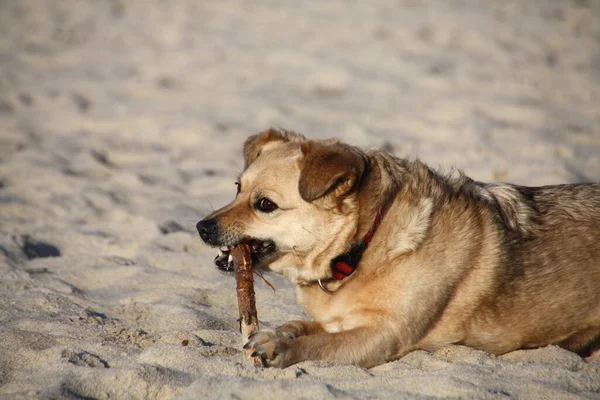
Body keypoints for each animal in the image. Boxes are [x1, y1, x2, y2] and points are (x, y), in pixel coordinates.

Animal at [198, 129, 600, 368]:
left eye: (265, 205)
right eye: (237, 188)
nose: (202, 227)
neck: (363, 244)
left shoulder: (383, 336)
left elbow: (321, 347)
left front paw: (281, 348)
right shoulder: (339, 319)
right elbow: (299, 325)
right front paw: (277, 333)